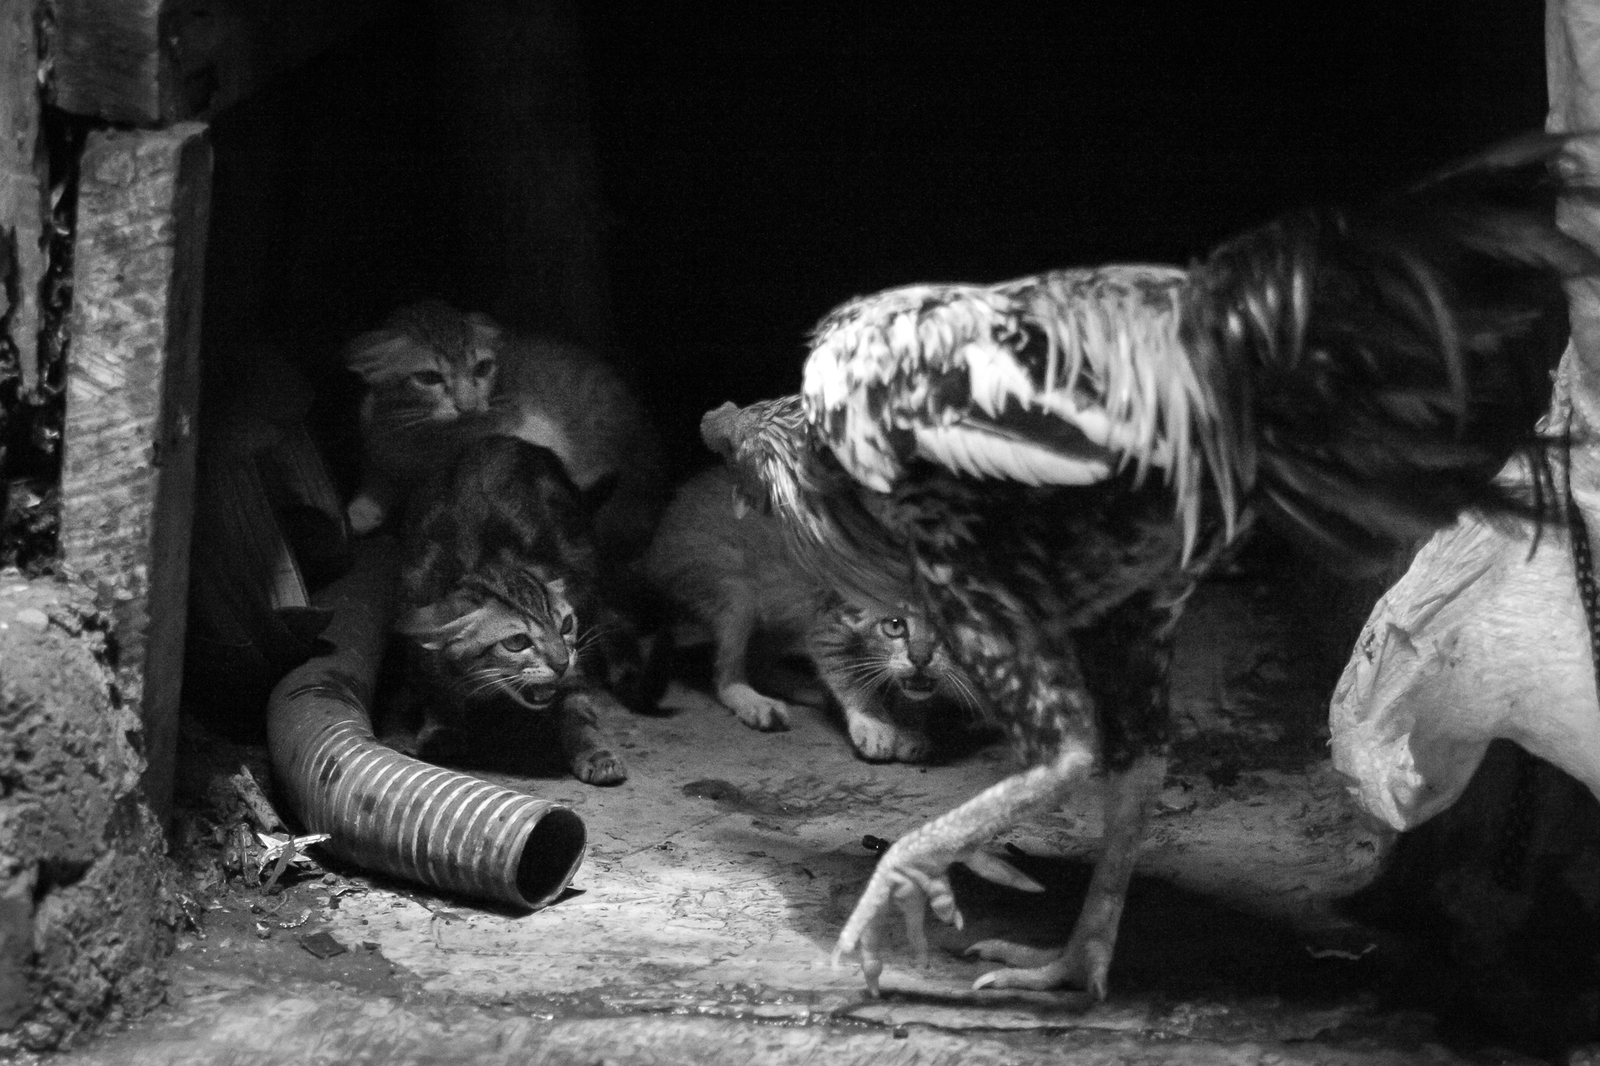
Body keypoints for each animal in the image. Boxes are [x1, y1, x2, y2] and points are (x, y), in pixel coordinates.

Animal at [347, 299, 665, 563]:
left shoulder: (529, 428)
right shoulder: (375, 434)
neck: (422, 437)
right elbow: (378, 474)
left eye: (482, 368)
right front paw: (361, 510)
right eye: (428, 377)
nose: (468, 405)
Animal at [393, 428, 636, 781]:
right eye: (517, 642)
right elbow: (434, 684)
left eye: (565, 625)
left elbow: (577, 707)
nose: (561, 663)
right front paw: (442, 727)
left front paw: (594, 750)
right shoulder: (414, 608)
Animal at [640, 464, 972, 755]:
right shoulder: (828, 623)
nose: (920, 658)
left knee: (760, 658)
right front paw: (874, 725)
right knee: (726, 672)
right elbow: (847, 678)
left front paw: (910, 726)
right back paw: (754, 702)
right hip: (731, 590)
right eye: (894, 625)